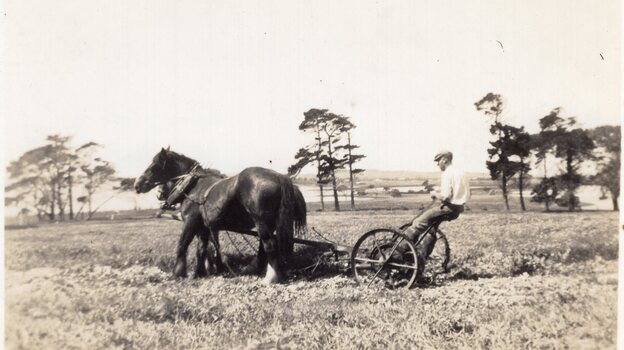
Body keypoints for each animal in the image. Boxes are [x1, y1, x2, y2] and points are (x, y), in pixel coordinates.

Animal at [135, 148, 308, 284]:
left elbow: (182, 245)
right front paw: (199, 273)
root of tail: (280, 176)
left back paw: (270, 278)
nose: (137, 184)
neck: (192, 186)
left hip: (261, 221)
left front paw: (178, 273)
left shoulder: (190, 222)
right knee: (264, 247)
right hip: (268, 223)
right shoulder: (204, 227)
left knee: (270, 245)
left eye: (154, 165)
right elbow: (201, 250)